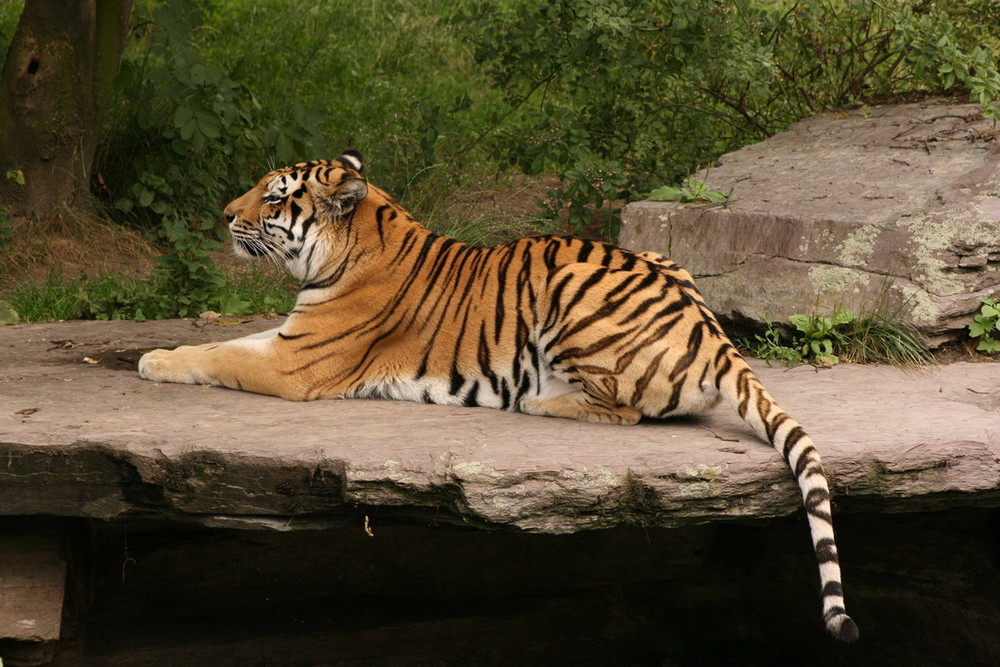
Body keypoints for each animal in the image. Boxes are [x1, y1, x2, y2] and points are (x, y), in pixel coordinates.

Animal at [139, 150, 860, 640]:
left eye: (274, 197)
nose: (225, 216)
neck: (349, 244)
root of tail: (713, 331)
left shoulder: (296, 362)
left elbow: (221, 355)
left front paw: (152, 359)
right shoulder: (291, 339)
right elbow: (232, 341)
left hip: (572, 293)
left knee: (629, 409)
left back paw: (540, 398)